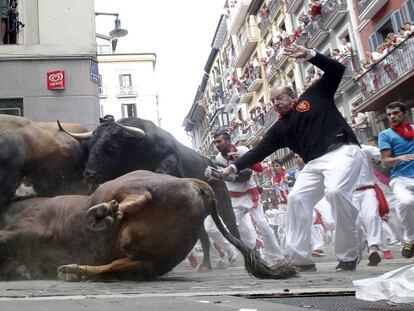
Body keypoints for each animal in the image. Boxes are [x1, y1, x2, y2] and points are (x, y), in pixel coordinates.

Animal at [0, 171, 296, 282]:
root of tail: (193, 184)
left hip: (124, 184)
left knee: (137, 195)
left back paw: (104, 213)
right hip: (151, 259)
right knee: (119, 265)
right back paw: (74, 269)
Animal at [58, 118, 239, 270]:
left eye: (112, 146)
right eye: (90, 146)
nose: (89, 174)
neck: (136, 152)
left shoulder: (170, 159)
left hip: (224, 204)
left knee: (231, 226)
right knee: (204, 237)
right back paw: (205, 265)